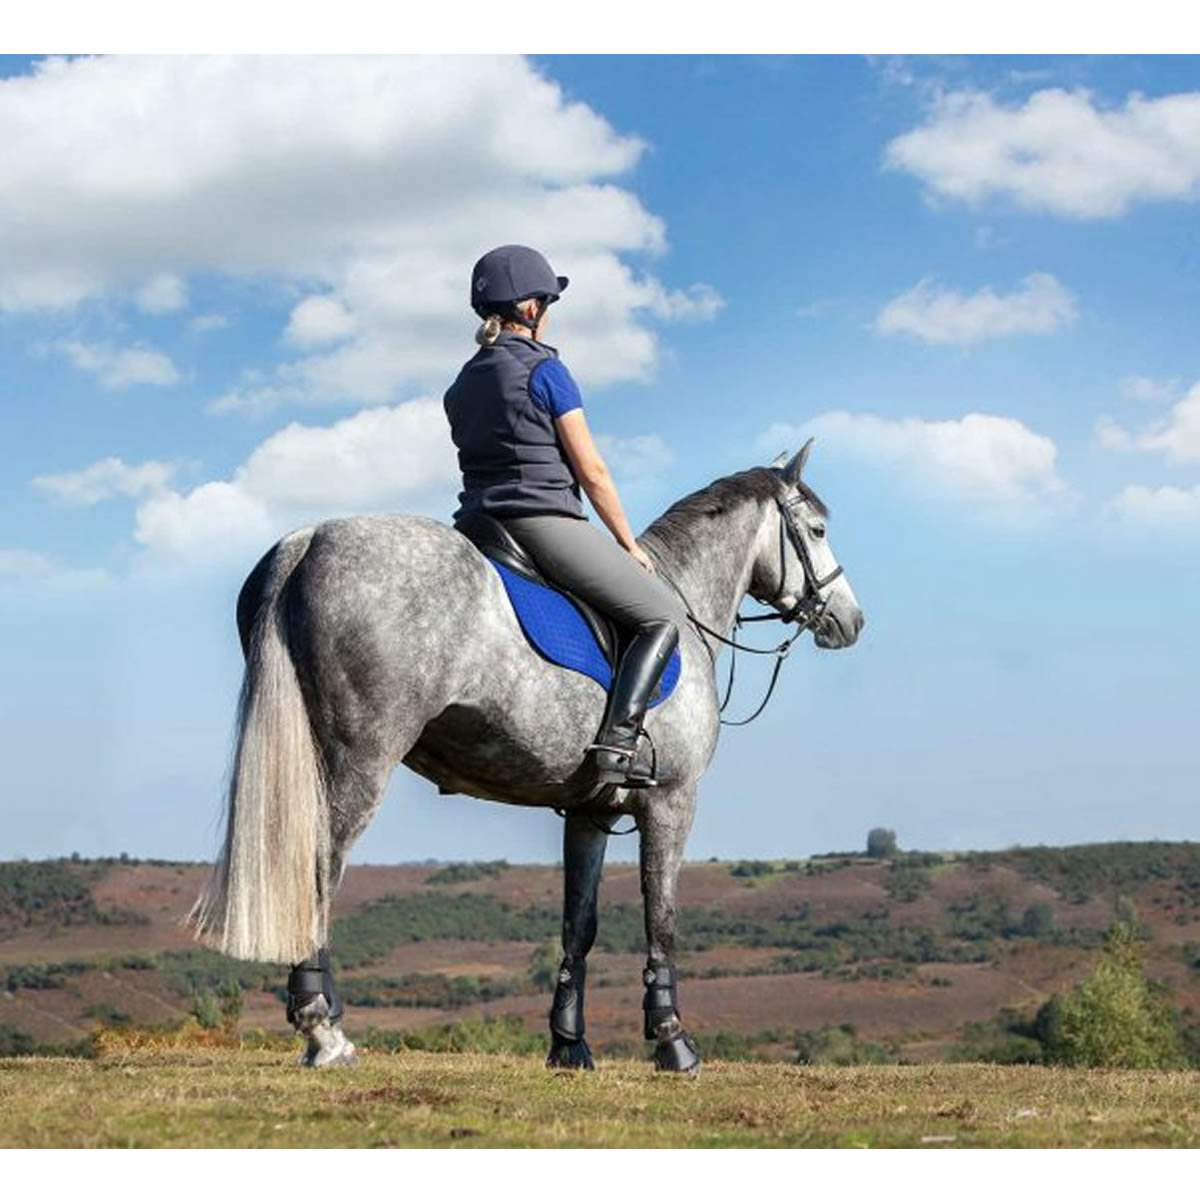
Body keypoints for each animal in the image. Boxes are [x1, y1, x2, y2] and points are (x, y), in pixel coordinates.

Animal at [187, 439, 864, 1070]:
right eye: (818, 530)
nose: (850, 621)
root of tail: (308, 541)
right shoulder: (673, 801)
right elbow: (662, 918)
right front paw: (673, 1042)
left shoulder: (592, 812)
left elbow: (579, 926)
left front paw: (569, 1044)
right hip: (357, 761)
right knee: (318, 869)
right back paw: (323, 1031)